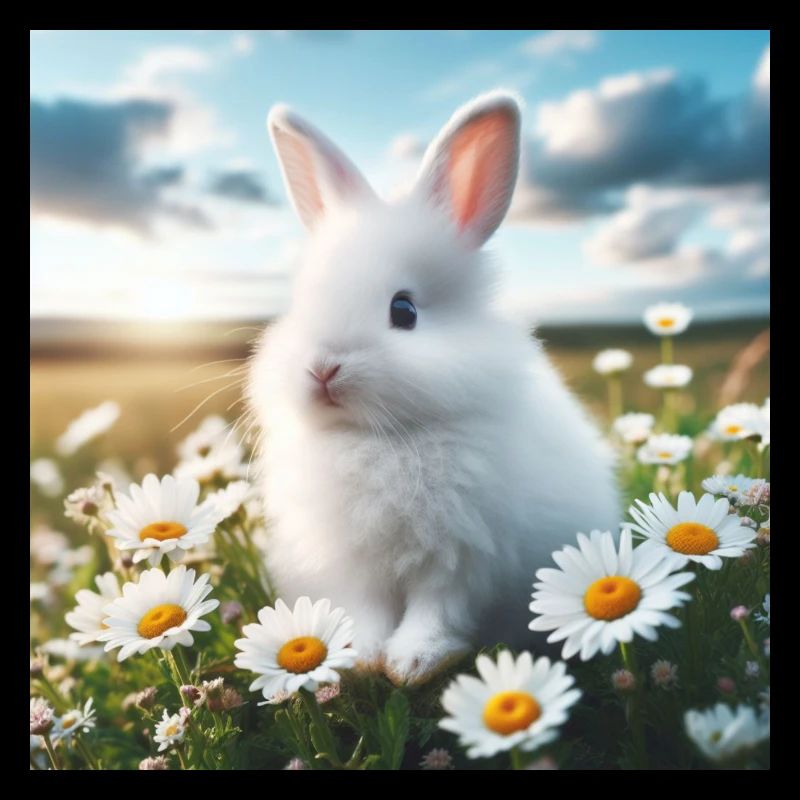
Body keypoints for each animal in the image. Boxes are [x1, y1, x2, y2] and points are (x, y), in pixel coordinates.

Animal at [247, 90, 620, 685]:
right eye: (301, 304)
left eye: (404, 310)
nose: (322, 369)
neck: (376, 440)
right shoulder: (355, 565)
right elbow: (369, 611)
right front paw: (357, 658)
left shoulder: (462, 557)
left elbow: (436, 611)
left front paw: (413, 663)